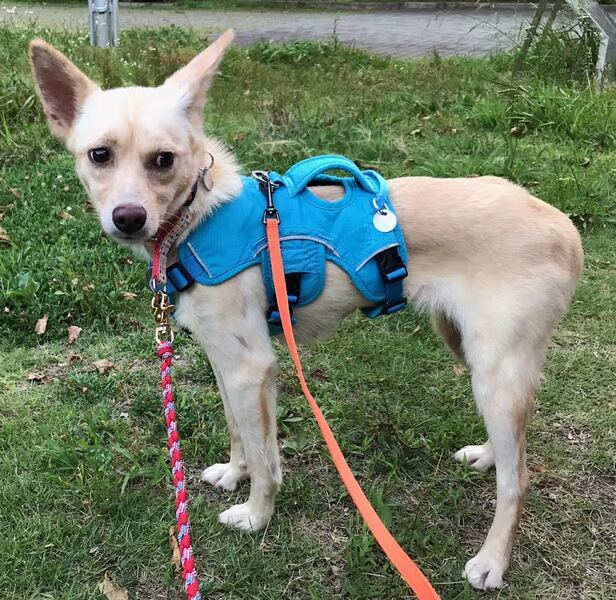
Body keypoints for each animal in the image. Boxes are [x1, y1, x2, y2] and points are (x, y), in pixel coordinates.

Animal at [29, 30, 583, 591]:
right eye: (100, 155)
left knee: (519, 479)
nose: (128, 217)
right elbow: (239, 430)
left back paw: (492, 560)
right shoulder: (227, 362)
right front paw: (234, 474)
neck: (198, 217)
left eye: (163, 159)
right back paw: (488, 456)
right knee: (513, 446)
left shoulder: (251, 368)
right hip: (468, 350)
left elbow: (266, 457)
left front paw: (256, 514)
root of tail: (563, 224)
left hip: (497, 373)